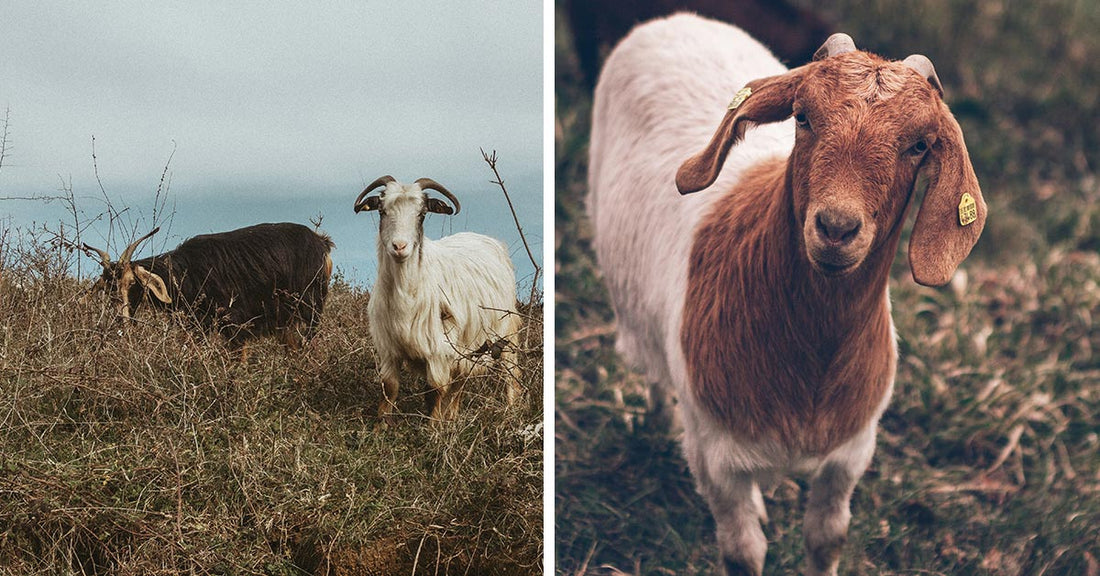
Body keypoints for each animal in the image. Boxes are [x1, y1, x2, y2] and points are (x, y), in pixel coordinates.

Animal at [83, 222, 334, 353]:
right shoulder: (197, 326)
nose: (121, 318)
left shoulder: (235, 325)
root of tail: (321, 243)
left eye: (133, 283)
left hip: (309, 309)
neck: (185, 273)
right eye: (108, 288)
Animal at [354, 175, 522, 425]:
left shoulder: (438, 348)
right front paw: (380, 427)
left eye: (422, 214)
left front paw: (432, 429)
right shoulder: (389, 348)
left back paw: (510, 411)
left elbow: (434, 391)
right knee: (460, 380)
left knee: (509, 373)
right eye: (382, 211)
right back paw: (452, 416)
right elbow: (389, 388)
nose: (399, 247)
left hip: (504, 332)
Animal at [587, 14, 985, 576]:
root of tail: (673, 19)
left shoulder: (850, 454)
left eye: (918, 146)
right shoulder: (719, 459)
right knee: (654, 374)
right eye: (802, 117)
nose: (836, 227)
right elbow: (742, 552)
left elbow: (826, 538)